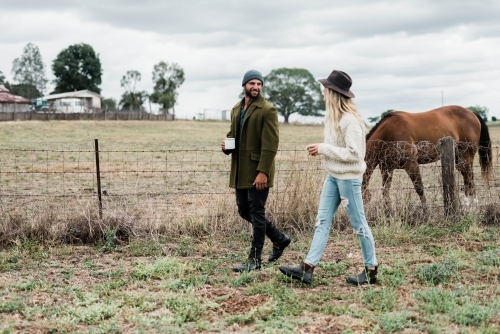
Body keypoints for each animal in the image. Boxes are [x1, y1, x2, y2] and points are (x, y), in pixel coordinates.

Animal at [364, 105, 492, 209]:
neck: (387, 134)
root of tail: (472, 113)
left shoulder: (411, 164)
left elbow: (419, 188)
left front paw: (426, 211)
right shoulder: (386, 168)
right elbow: (385, 190)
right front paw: (387, 211)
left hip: (466, 156)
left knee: (468, 177)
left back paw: (469, 203)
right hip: (459, 158)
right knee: (469, 176)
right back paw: (472, 202)